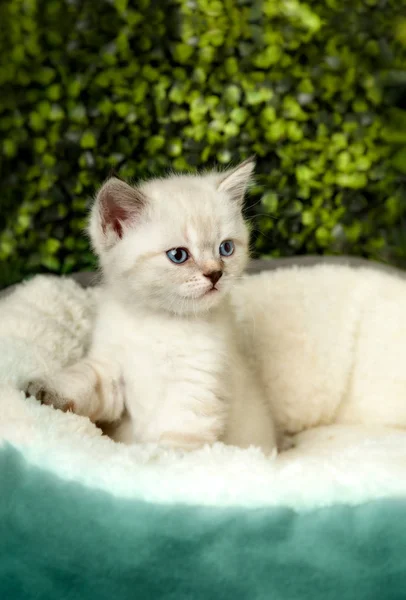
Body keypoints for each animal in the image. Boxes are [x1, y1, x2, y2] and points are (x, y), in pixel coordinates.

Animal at [27, 162, 276, 452]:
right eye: (178, 255)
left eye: (225, 248)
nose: (216, 274)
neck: (157, 320)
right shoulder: (111, 373)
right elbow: (83, 380)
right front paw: (44, 394)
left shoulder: (192, 396)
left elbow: (172, 451)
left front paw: (149, 459)